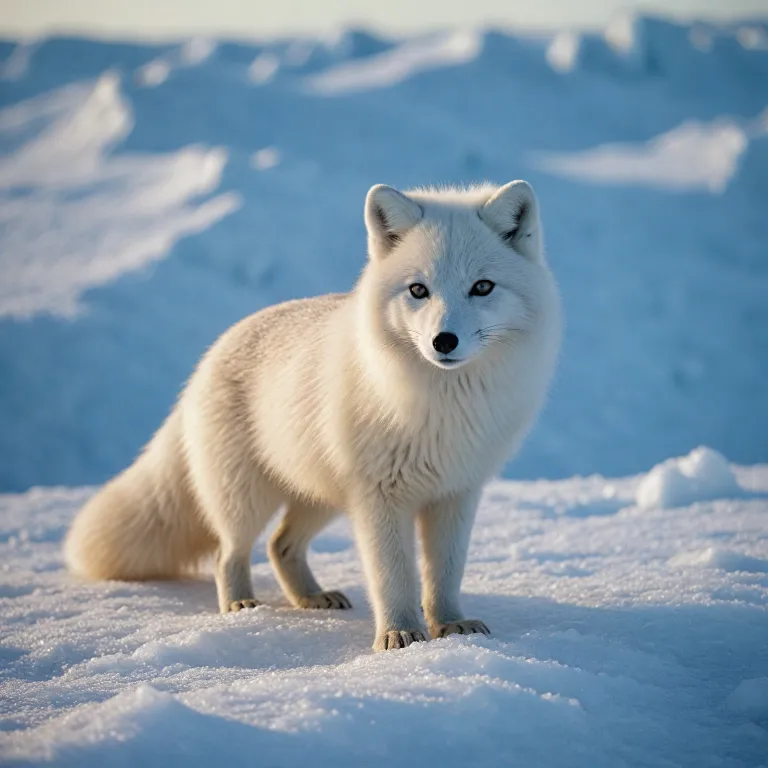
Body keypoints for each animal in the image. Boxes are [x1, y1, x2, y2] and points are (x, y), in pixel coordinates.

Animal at [65, 180, 561, 651]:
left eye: (483, 287)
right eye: (418, 290)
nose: (444, 341)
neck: (442, 406)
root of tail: (212, 353)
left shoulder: (456, 493)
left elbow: (444, 572)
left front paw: (451, 625)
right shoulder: (380, 498)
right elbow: (393, 575)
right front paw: (400, 634)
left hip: (322, 497)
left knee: (280, 544)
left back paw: (311, 598)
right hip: (247, 496)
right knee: (230, 552)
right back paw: (241, 607)